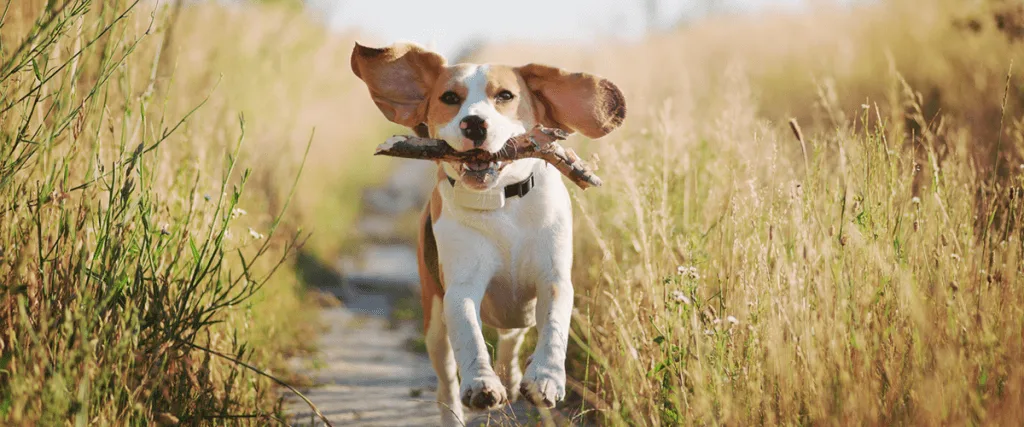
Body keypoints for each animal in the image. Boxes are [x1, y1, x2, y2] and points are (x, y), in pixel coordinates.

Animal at [350, 41, 622, 423]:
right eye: (449, 97)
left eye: (505, 95)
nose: (474, 123)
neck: (501, 203)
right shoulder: (461, 288)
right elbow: (470, 335)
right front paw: (481, 384)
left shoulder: (553, 278)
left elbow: (554, 325)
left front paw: (546, 377)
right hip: (434, 324)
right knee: (446, 382)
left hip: (517, 313)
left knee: (511, 340)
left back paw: (513, 378)